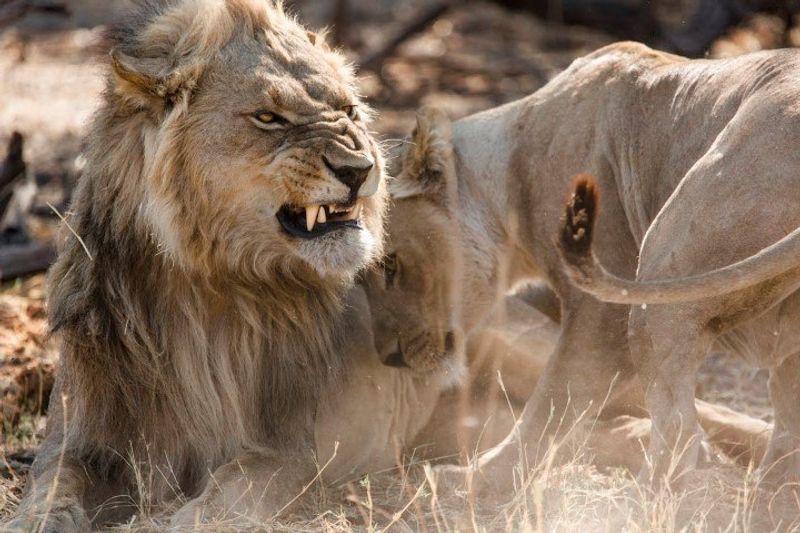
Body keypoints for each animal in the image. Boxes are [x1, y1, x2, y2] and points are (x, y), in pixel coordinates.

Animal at [6, 0, 389, 529]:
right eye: (269, 117)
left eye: (350, 111)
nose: (360, 169)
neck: (205, 284)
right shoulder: (82, 436)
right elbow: (53, 485)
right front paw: (32, 520)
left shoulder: (301, 448)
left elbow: (236, 483)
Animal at [361, 47, 786, 494]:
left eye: (389, 264)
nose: (389, 357)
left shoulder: (604, 310)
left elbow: (552, 402)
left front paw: (476, 481)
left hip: (663, 276)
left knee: (678, 424)